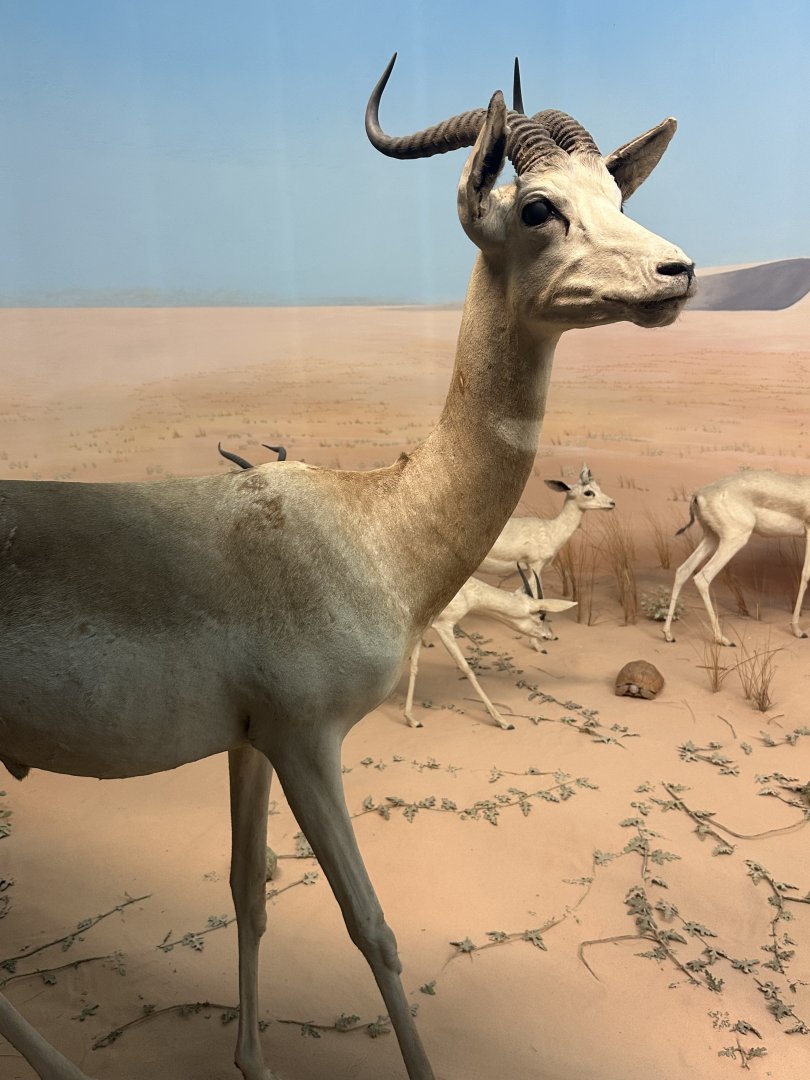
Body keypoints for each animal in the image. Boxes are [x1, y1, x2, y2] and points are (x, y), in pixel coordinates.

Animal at [404, 568, 575, 729]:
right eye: (541, 616)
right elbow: (466, 669)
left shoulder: (423, 625)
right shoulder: (444, 626)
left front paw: (411, 719)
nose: (551, 636)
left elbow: (414, 666)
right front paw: (503, 721)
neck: (467, 593)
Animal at [663, 470, 810, 646]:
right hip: (733, 539)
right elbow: (805, 575)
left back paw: (668, 634)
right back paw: (723, 639)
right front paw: (797, 630)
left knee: (683, 570)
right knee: (702, 577)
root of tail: (698, 494)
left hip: (712, 537)